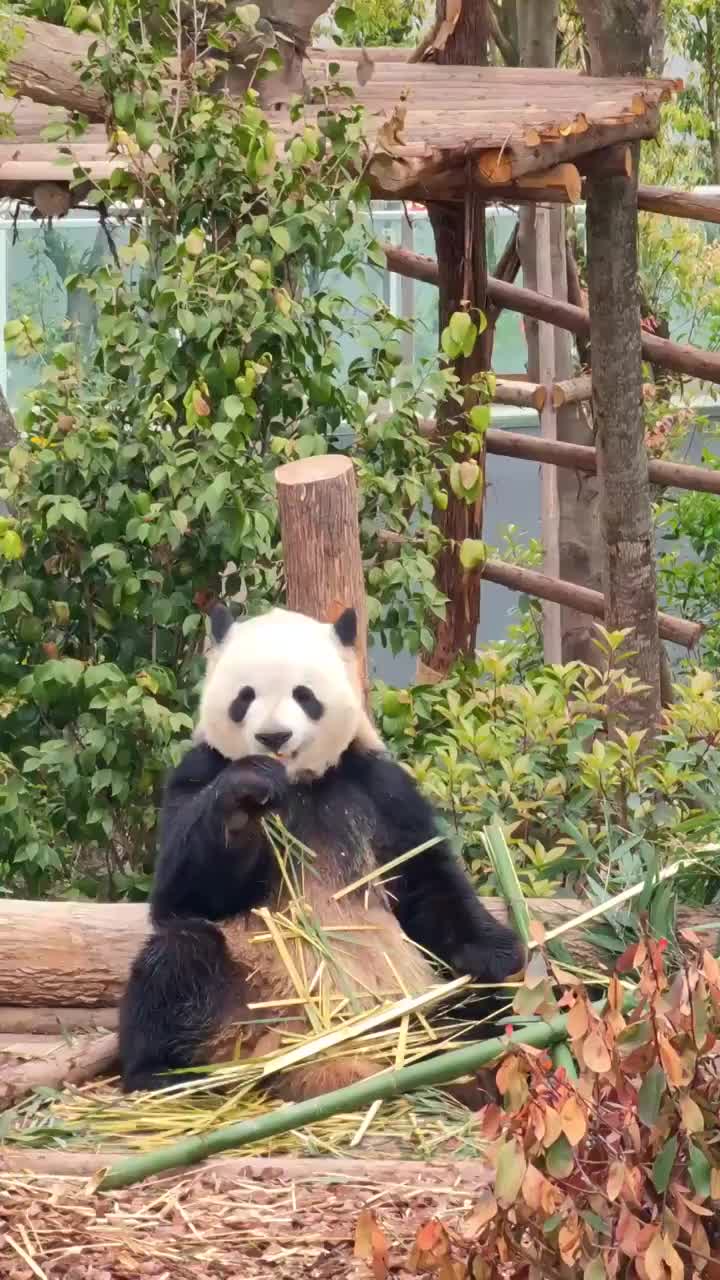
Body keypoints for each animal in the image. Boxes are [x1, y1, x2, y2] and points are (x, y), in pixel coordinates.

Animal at [119, 606, 520, 1100]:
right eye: (245, 696)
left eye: (304, 694)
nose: (274, 737)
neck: (298, 782)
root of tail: (318, 1056)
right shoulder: (199, 770)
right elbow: (181, 895)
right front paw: (246, 791)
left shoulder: (378, 785)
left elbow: (425, 878)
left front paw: (495, 953)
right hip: (242, 994)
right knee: (177, 956)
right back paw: (159, 1075)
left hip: (416, 1001)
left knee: (476, 1004)